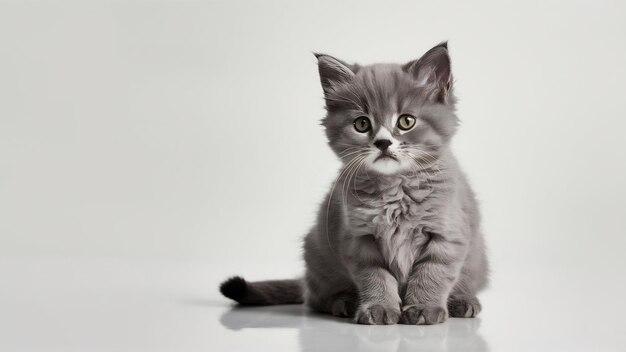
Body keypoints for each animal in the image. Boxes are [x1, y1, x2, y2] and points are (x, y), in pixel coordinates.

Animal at [219, 42, 488, 326]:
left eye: (406, 121)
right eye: (362, 124)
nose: (383, 143)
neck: (395, 189)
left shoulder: (446, 235)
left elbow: (432, 274)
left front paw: (423, 308)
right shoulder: (360, 240)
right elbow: (375, 277)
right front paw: (379, 307)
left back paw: (463, 301)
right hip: (316, 252)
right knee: (315, 298)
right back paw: (345, 302)